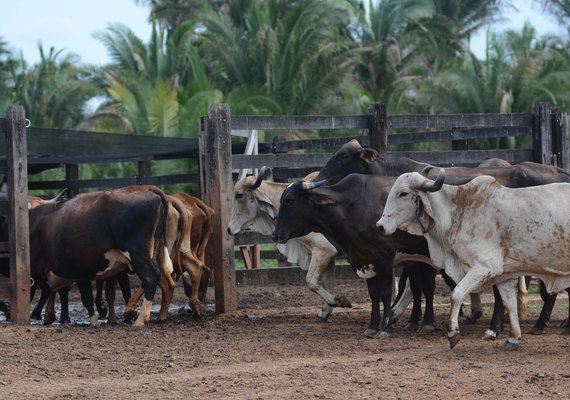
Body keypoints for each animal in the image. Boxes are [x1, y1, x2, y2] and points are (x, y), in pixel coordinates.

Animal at [226, 167, 350, 320]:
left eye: (239, 195)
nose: (229, 229)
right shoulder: (328, 256)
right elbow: (328, 283)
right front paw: (325, 311)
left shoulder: (323, 251)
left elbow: (311, 281)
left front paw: (338, 300)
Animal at [374, 169, 568, 350]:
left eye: (403, 193)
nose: (380, 226)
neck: (459, 213)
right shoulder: (503, 273)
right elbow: (509, 303)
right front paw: (513, 338)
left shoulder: (484, 267)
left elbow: (457, 293)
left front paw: (453, 333)